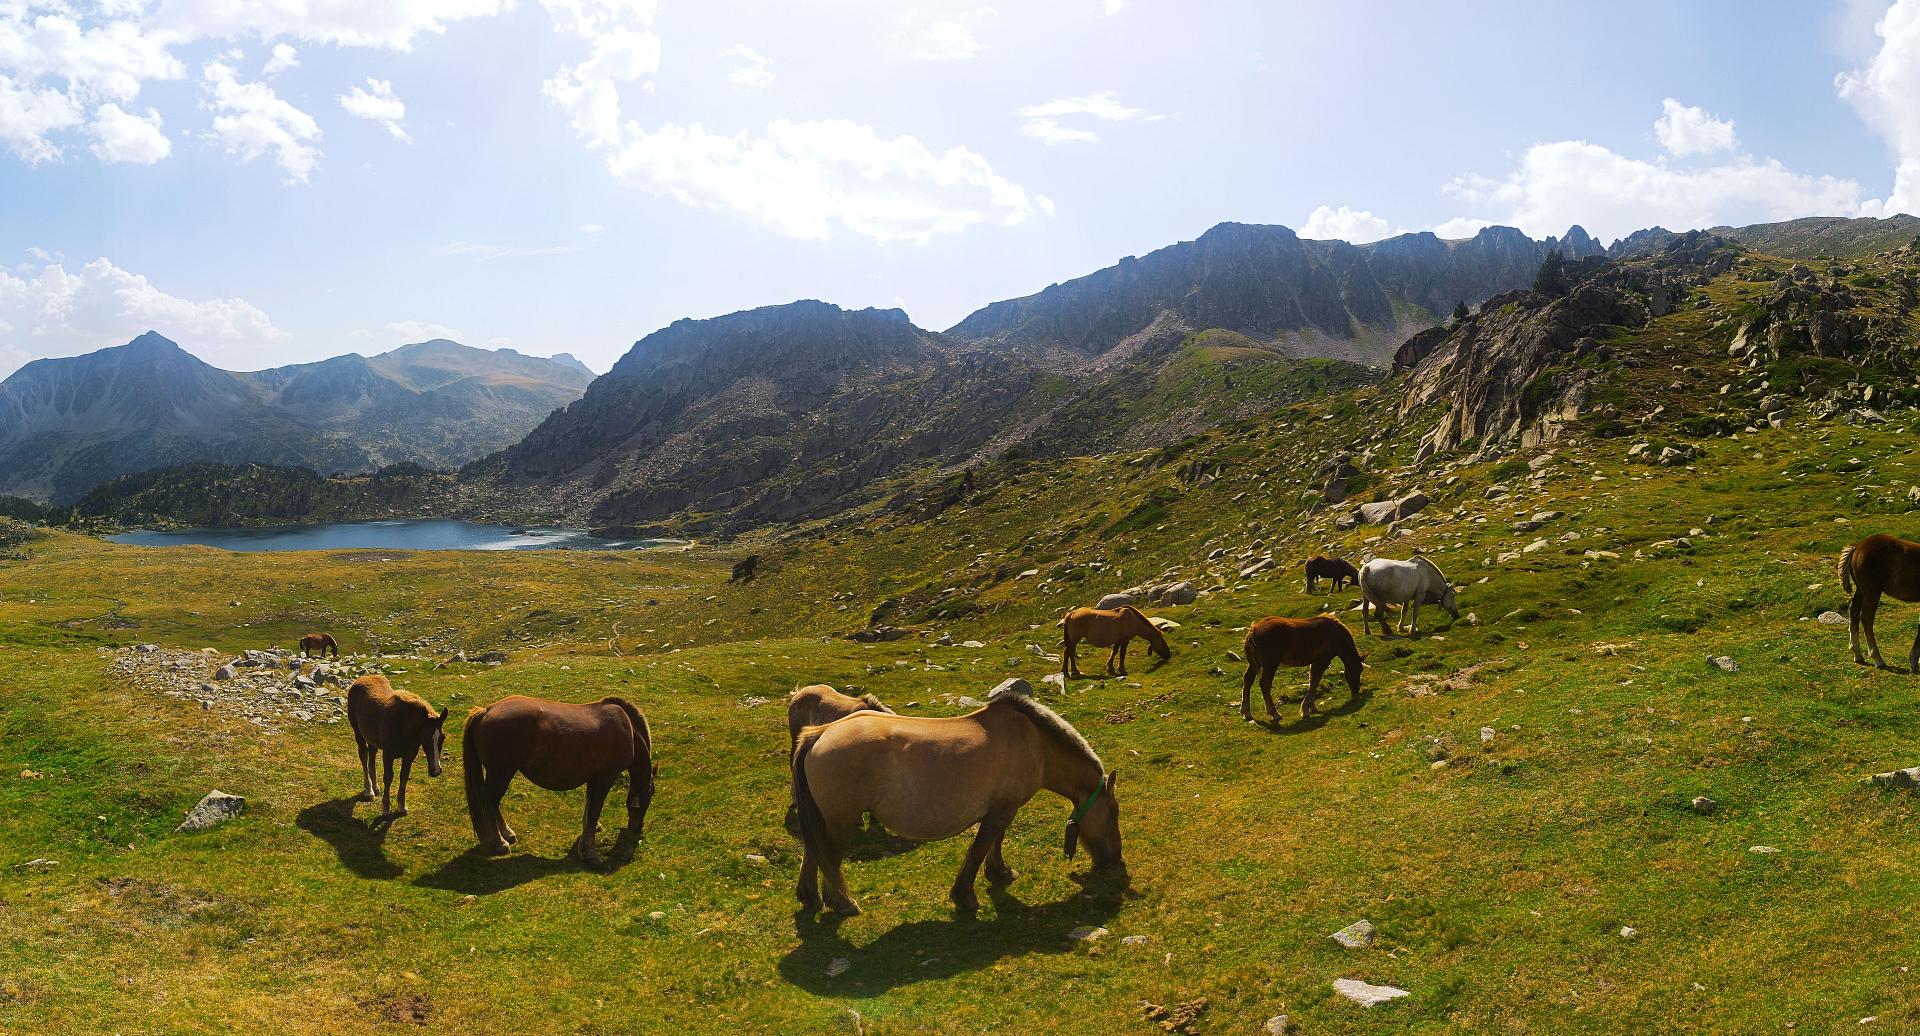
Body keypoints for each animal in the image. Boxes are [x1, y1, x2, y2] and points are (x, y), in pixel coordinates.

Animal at [347, 675, 447, 821]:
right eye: (425, 737)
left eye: (443, 738)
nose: (436, 771)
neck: (403, 726)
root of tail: (361, 679)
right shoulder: (388, 755)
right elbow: (388, 778)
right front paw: (386, 809)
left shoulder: (409, 755)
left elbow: (403, 777)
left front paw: (401, 807)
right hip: (358, 732)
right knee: (364, 757)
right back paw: (369, 791)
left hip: (372, 738)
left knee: (372, 756)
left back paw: (376, 787)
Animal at [460, 694, 656, 867]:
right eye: (650, 796)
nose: (637, 827)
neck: (628, 730)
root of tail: (487, 710)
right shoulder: (604, 778)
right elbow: (594, 811)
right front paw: (590, 853)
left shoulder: (593, 779)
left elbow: (589, 808)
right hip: (501, 772)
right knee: (489, 802)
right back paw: (498, 843)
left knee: (493, 804)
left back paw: (506, 834)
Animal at [1843, 533, 1920, 671]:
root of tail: (1856, 548)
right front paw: (1914, 661)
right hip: (1872, 591)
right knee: (1866, 618)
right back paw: (1878, 659)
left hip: (1861, 590)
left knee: (1853, 611)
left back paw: (1857, 654)